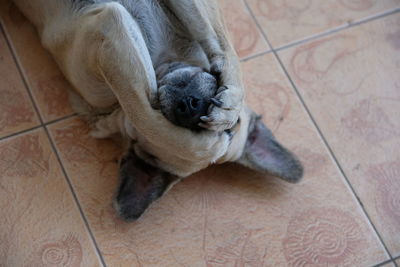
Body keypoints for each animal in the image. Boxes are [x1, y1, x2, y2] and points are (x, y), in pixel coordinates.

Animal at [13, 0, 304, 222]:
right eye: (231, 130)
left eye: (194, 123)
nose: (190, 106)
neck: (165, 61)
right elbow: (222, 47)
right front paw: (229, 105)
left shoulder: (110, 34)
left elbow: (143, 112)